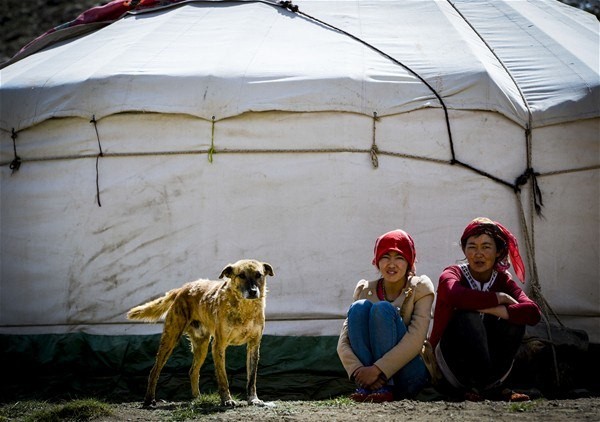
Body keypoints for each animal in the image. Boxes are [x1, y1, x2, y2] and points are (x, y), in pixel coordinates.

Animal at [129, 258, 276, 408]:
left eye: (258, 275)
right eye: (241, 275)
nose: (253, 292)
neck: (245, 308)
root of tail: (182, 289)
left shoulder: (253, 346)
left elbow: (252, 379)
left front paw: (253, 399)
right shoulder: (218, 346)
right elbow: (223, 378)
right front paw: (226, 400)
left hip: (202, 346)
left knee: (193, 371)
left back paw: (197, 398)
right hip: (170, 339)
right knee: (154, 371)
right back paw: (149, 400)